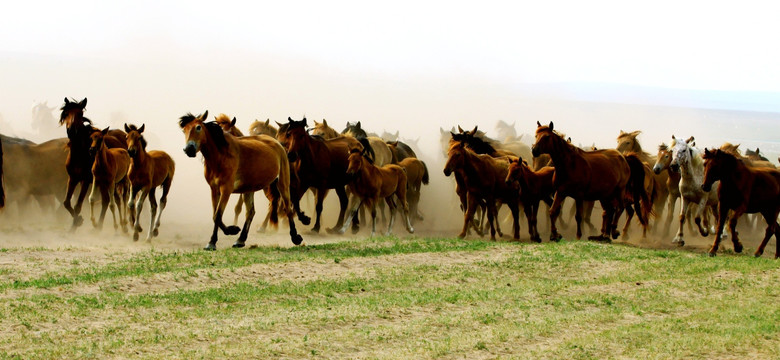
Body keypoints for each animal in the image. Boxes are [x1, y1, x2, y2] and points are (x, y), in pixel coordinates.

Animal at [59, 97, 126, 229]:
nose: (72, 131)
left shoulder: (85, 180)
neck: (80, 153)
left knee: (109, 200)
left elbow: (78, 206)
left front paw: (75, 224)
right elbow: (66, 202)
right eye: (67, 113)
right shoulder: (73, 178)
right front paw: (77, 221)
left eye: (80, 114)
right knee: (108, 200)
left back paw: (100, 225)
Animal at [181, 111, 304, 249]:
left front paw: (212, 242)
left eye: (198, 127)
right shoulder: (214, 189)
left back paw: (295, 237)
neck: (221, 156)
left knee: (287, 207)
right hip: (249, 188)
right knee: (251, 212)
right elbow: (215, 215)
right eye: (184, 130)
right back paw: (240, 239)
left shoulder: (226, 189)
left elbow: (218, 215)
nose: (189, 149)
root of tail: (277, 142)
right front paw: (232, 230)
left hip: (282, 183)